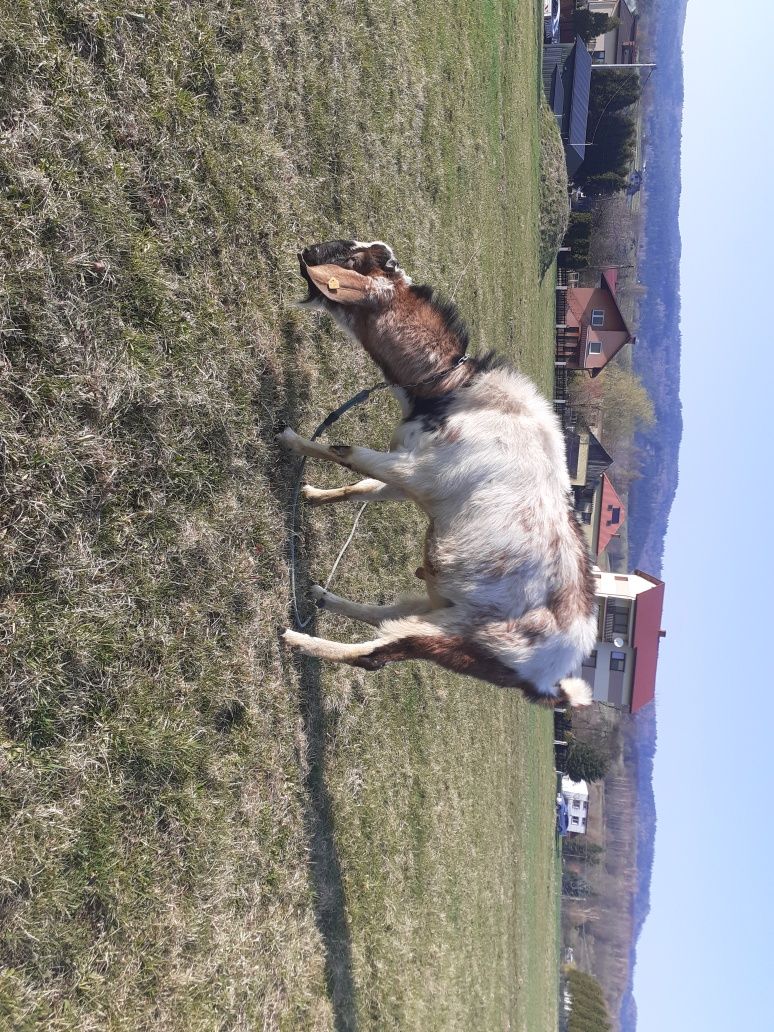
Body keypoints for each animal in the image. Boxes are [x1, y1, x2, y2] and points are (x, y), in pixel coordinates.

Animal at [278, 241, 598, 710]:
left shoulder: (418, 471)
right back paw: (323, 597)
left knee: (376, 652)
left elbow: (346, 451)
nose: (307, 250)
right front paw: (314, 493)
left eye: (353, 260)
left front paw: (290, 439)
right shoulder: (413, 476)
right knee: (387, 613)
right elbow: (362, 487)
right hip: (442, 607)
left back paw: (299, 641)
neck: (453, 389)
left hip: (454, 642)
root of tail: (553, 684)